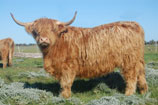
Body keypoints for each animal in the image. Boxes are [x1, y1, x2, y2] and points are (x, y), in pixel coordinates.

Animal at [10, 11, 148, 98]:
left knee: (131, 77)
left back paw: (128, 95)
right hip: (138, 60)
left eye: (52, 29)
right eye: (35, 31)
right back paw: (143, 92)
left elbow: (66, 83)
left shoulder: (68, 67)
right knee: (141, 74)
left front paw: (64, 97)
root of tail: (134, 24)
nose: (43, 39)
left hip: (129, 61)